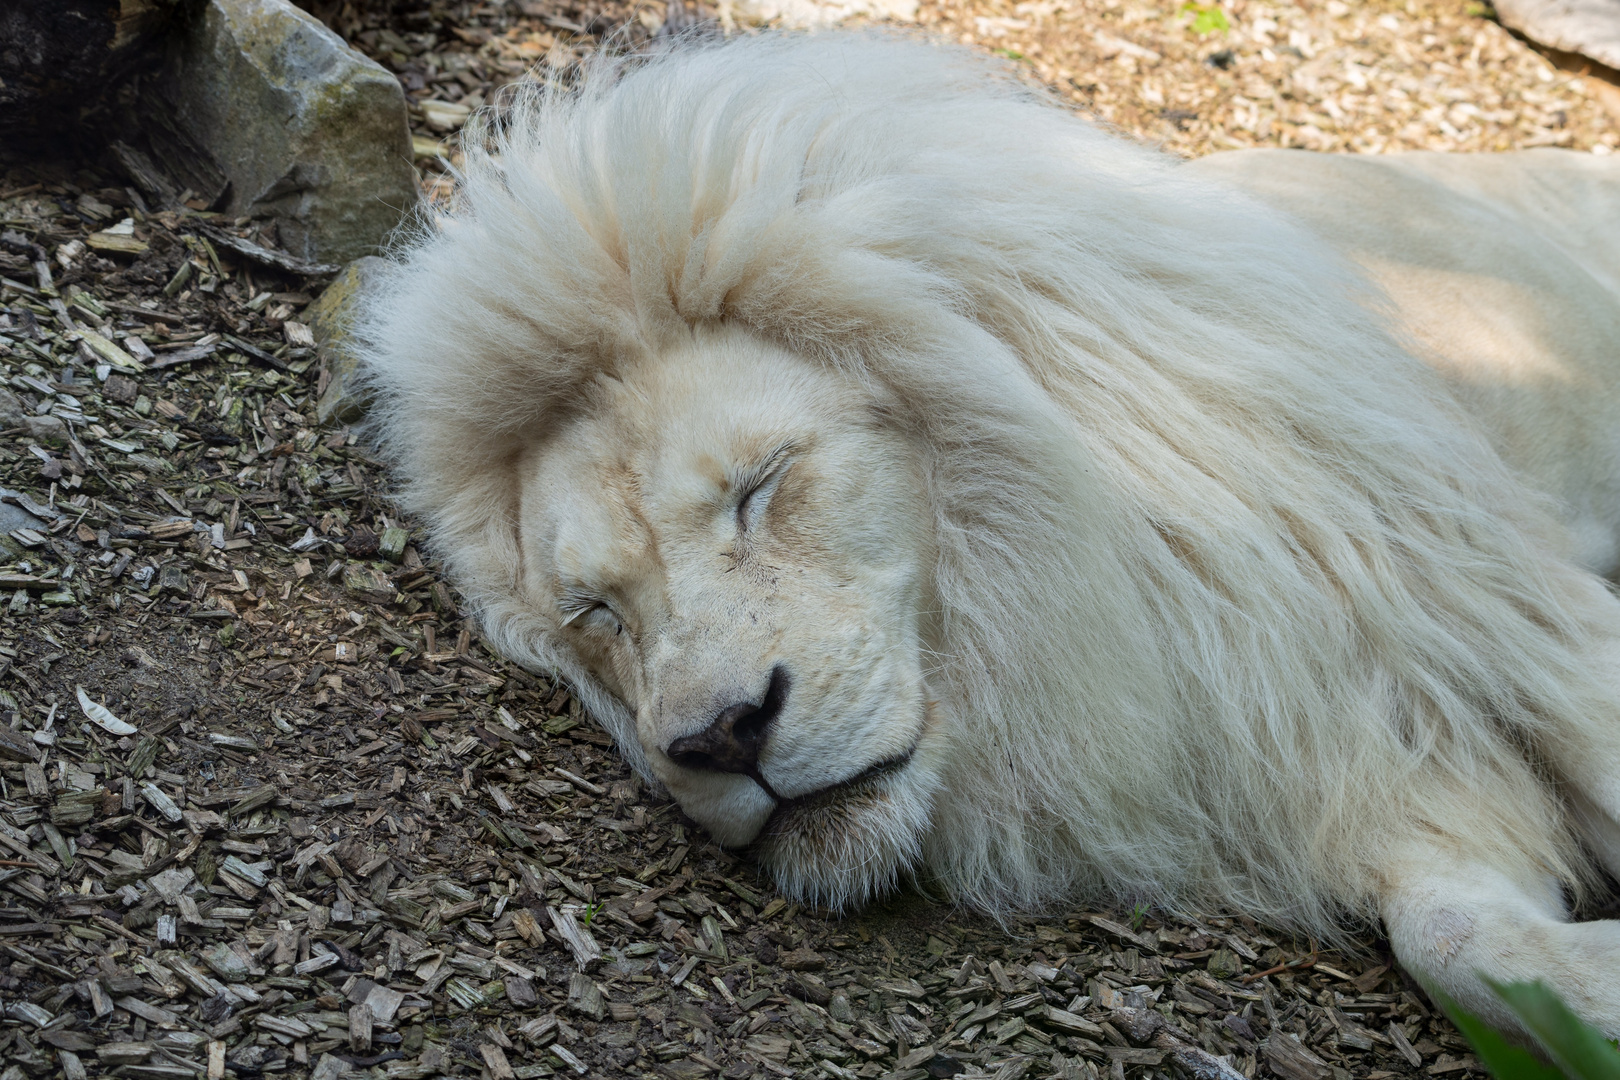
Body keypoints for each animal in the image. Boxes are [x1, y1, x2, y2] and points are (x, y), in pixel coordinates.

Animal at [361, 33, 1620, 1042]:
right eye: (596, 613)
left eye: (761, 487)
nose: (721, 738)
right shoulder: (1352, 756)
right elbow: (1460, 942)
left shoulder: (1503, 614)